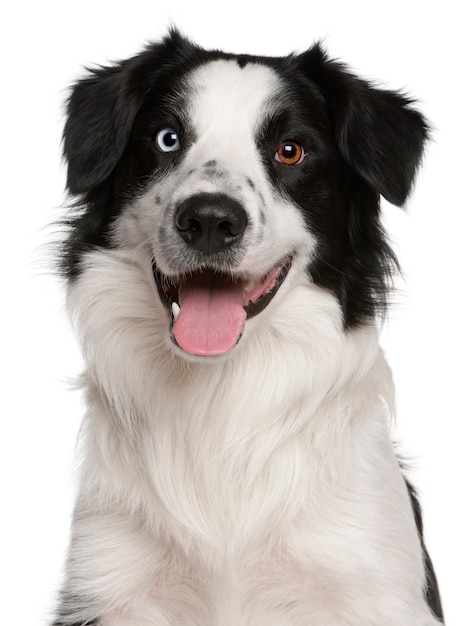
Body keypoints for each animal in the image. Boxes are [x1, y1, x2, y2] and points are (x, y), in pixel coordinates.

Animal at [53, 30, 444, 624]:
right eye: (167, 139)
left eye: (290, 150)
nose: (210, 219)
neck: (220, 397)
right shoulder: (110, 581)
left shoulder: (370, 584)